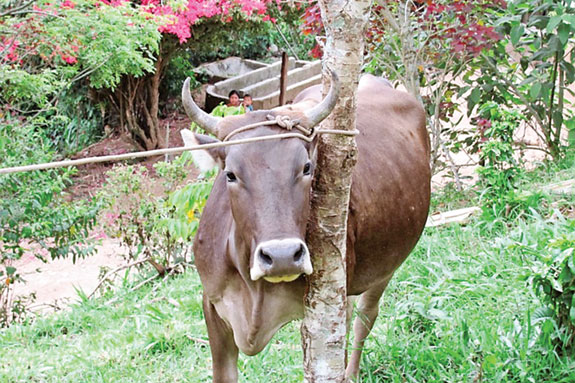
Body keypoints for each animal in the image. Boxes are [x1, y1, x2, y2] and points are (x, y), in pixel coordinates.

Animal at [182, 71, 430, 380]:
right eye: (230, 175)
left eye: (306, 168)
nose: (282, 256)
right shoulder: (212, 305)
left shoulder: (327, 313)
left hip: (385, 265)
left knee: (365, 316)